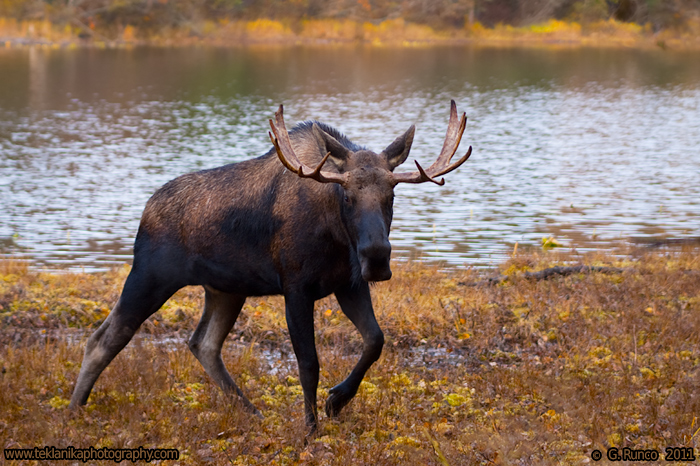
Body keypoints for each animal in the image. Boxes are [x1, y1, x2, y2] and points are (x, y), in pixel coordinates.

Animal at [69, 100, 472, 434]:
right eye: (346, 194)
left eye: (391, 194)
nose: (376, 256)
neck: (336, 236)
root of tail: (145, 210)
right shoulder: (296, 287)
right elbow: (308, 363)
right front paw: (311, 428)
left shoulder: (349, 284)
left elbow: (375, 340)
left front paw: (336, 401)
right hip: (150, 276)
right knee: (106, 337)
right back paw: (74, 408)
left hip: (225, 290)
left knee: (203, 343)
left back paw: (251, 410)